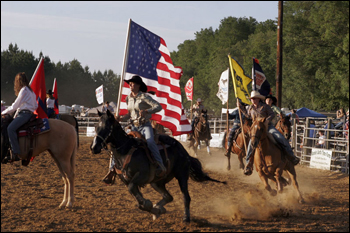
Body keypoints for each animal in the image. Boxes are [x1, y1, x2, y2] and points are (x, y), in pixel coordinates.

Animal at [91, 110, 227, 223]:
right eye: (96, 127)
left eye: (106, 127)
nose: (93, 147)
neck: (126, 150)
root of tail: (183, 150)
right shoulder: (126, 180)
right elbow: (137, 199)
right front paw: (154, 209)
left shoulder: (141, 176)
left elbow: (135, 192)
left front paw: (150, 205)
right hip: (156, 182)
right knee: (169, 196)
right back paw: (159, 208)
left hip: (182, 175)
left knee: (186, 197)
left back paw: (186, 217)